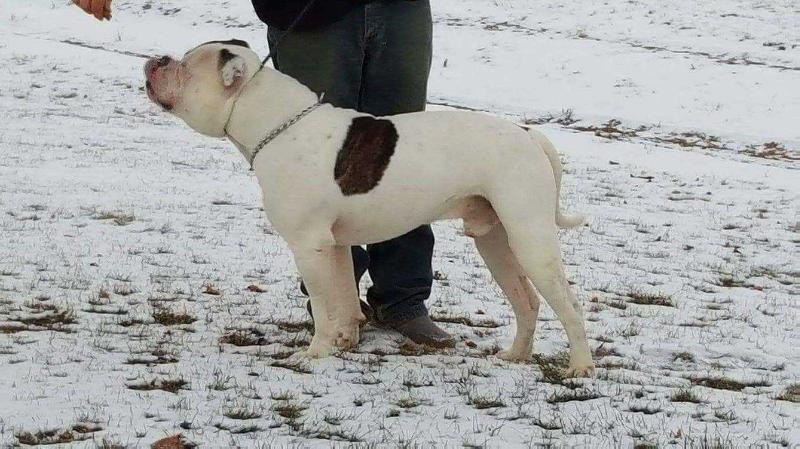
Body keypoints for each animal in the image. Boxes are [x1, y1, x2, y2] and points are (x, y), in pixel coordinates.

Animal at [144, 40, 592, 374]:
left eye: (185, 68)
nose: (156, 59)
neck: (276, 123)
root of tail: (529, 134)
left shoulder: (309, 246)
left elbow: (323, 303)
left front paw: (315, 352)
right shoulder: (335, 245)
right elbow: (342, 297)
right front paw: (342, 342)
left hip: (530, 238)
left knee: (569, 305)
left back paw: (581, 367)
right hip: (496, 240)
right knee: (527, 301)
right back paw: (516, 356)